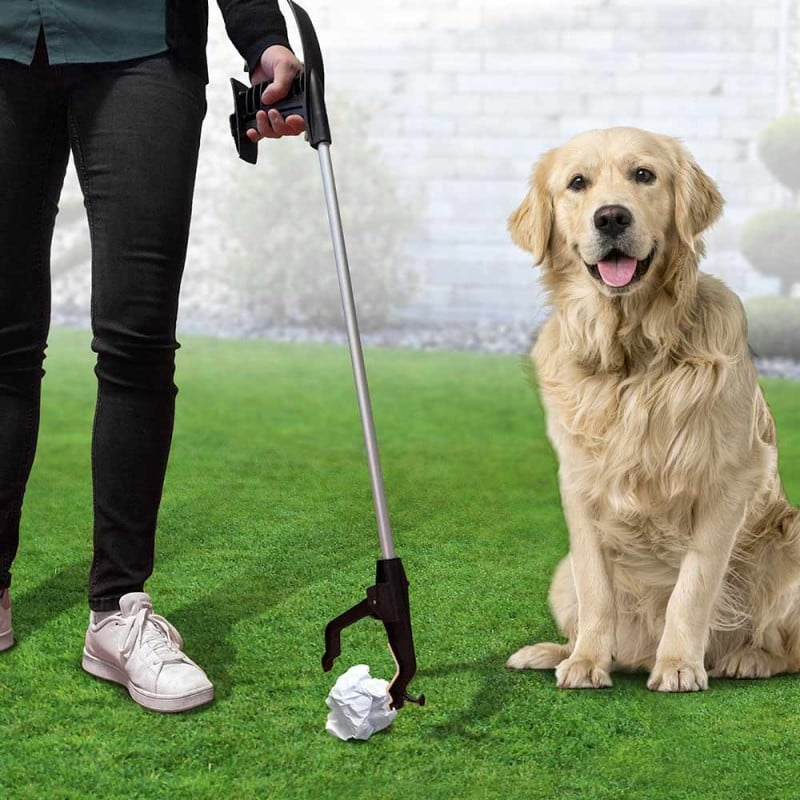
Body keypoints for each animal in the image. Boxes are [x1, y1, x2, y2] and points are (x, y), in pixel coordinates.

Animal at [506, 128, 800, 692]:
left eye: (644, 175)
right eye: (578, 183)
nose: (611, 217)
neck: (632, 357)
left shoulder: (728, 482)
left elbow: (694, 586)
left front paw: (681, 664)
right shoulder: (579, 485)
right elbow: (597, 590)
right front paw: (585, 661)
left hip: (792, 538)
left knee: (787, 648)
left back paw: (747, 658)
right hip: (561, 574)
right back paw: (555, 651)